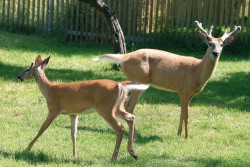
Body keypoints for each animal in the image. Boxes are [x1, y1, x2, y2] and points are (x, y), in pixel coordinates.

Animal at [18, 55, 150, 161]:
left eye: (27, 69)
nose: (19, 76)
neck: (49, 90)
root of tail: (119, 85)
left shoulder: (53, 109)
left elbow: (42, 128)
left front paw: (27, 148)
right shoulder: (73, 113)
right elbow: (73, 134)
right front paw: (74, 155)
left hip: (105, 108)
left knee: (120, 128)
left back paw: (114, 158)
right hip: (116, 107)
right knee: (131, 117)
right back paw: (133, 153)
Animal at [93, 20, 241, 139]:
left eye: (222, 44)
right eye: (210, 43)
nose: (215, 53)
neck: (197, 71)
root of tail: (124, 57)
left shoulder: (190, 94)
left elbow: (182, 113)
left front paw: (179, 134)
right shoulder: (183, 90)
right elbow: (186, 115)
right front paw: (187, 137)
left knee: (126, 103)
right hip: (140, 78)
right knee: (129, 105)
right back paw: (134, 135)